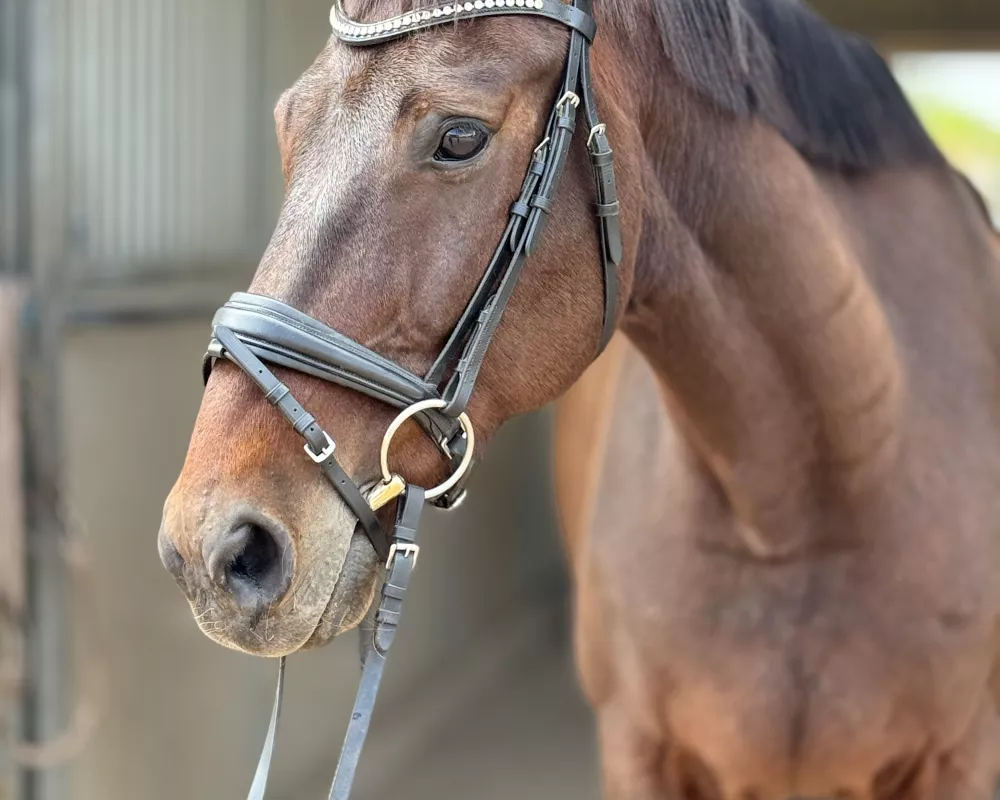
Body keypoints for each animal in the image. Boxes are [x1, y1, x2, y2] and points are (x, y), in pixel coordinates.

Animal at [156, 0, 1000, 796]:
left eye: (460, 138)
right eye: (286, 127)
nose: (212, 549)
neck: (810, 501)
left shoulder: (962, 762)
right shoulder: (638, 752)